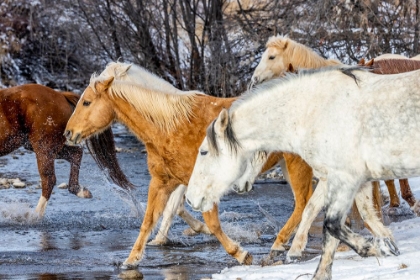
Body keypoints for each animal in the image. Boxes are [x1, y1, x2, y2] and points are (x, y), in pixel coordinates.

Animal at [0, 84, 133, 218]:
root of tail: (61, 95)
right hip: (42, 147)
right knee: (75, 154)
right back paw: (80, 191)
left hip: (43, 147)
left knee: (49, 180)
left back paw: (35, 215)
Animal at [186, 66, 420, 280]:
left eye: (204, 151)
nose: (190, 198)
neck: (314, 112)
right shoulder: (344, 180)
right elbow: (342, 222)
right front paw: (386, 244)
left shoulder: (344, 179)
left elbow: (331, 225)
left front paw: (377, 247)